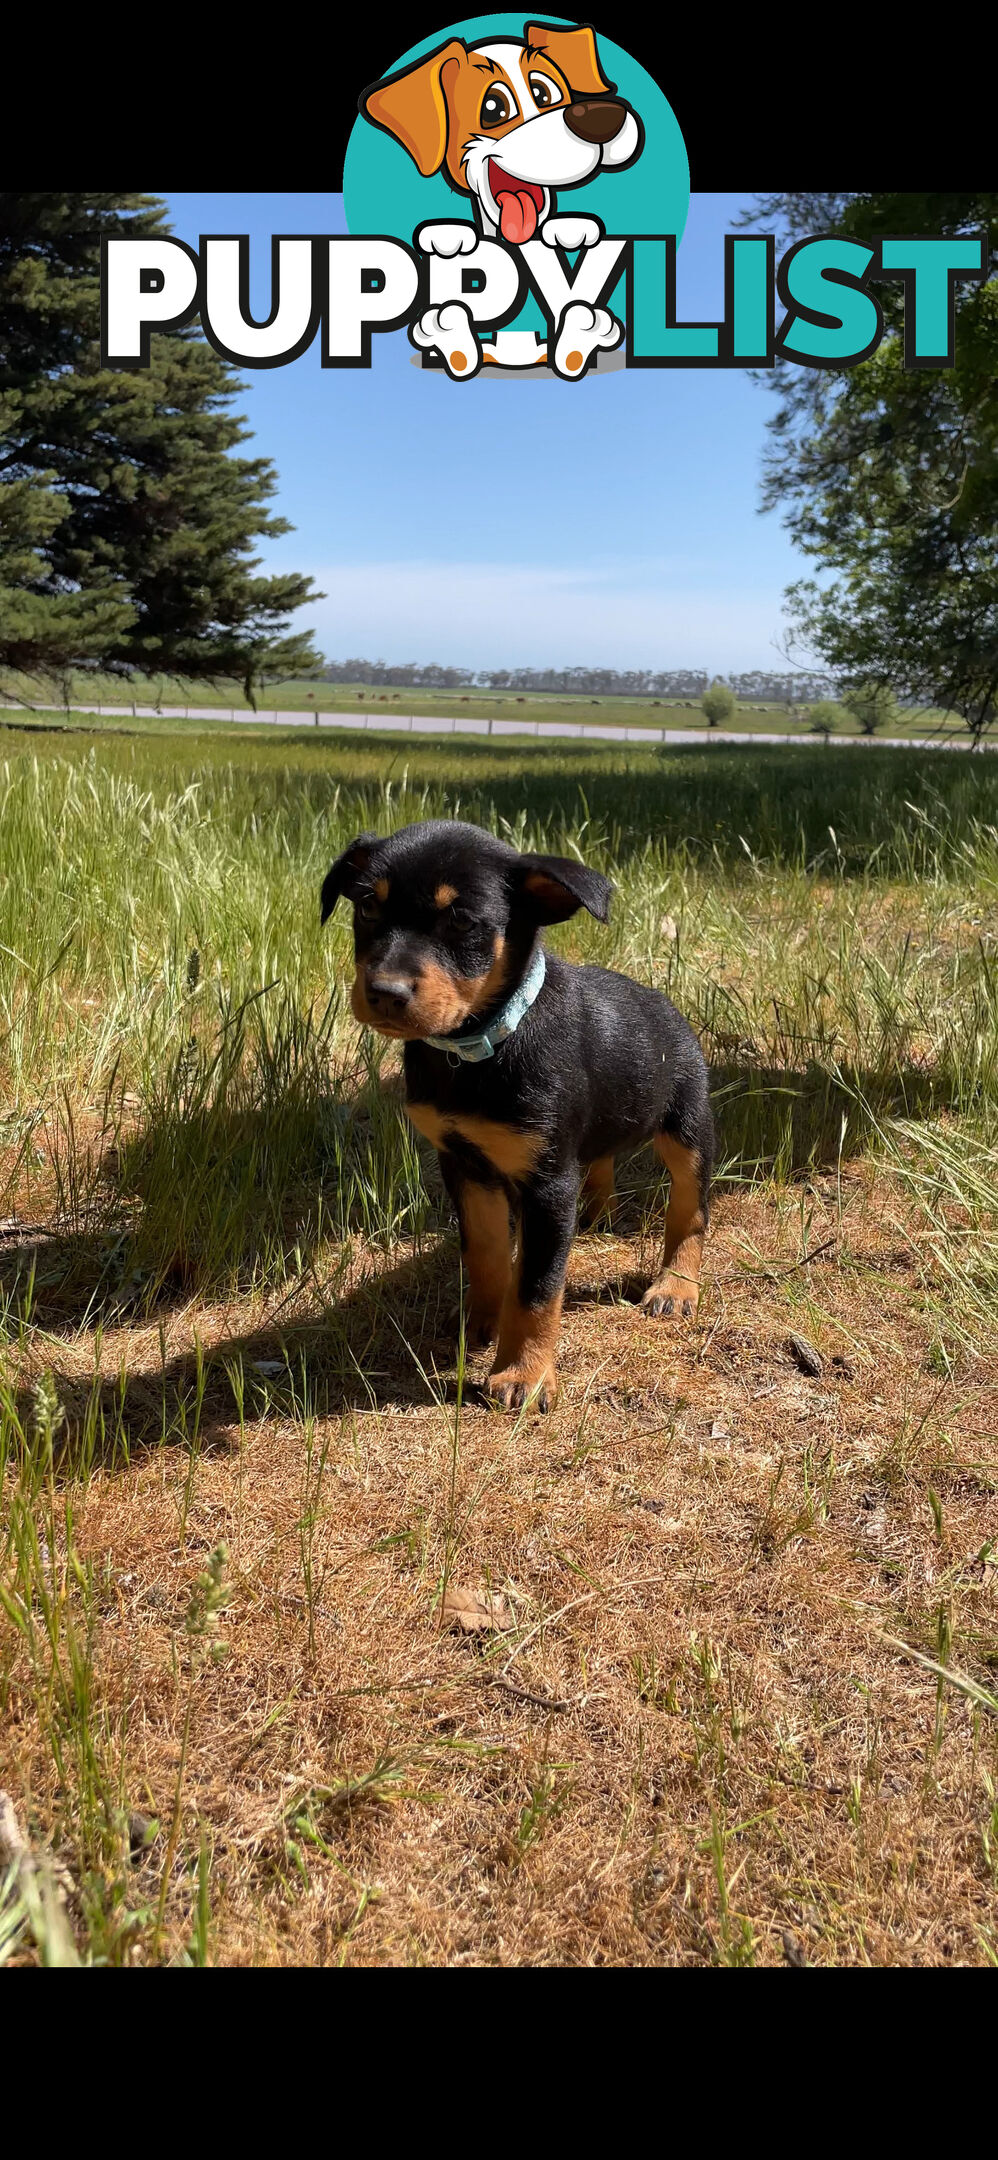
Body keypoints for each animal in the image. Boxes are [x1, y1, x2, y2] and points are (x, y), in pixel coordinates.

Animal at [324, 816, 712, 1408]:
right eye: (367, 906)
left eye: (462, 921)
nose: (384, 991)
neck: (479, 1046)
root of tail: (663, 1002)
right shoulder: (465, 1165)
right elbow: (485, 1252)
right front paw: (479, 1325)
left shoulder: (547, 1182)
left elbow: (536, 1286)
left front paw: (523, 1375)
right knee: (601, 1157)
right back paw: (595, 1213)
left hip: (688, 1126)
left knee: (689, 1210)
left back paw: (676, 1286)